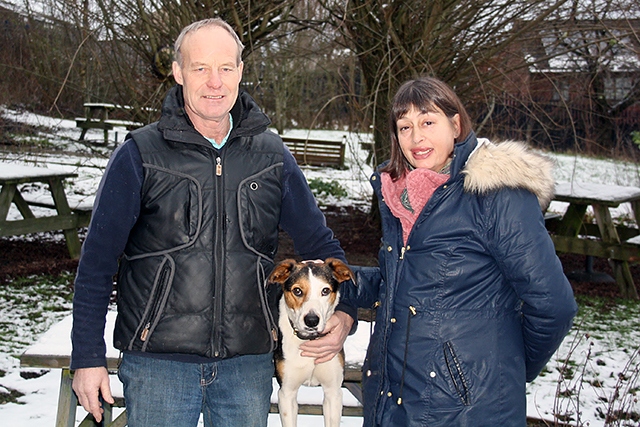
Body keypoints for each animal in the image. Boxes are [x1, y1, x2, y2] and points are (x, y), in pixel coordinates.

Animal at [266, 258, 356, 427]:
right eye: (297, 291)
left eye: (325, 291)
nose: (312, 320)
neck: (309, 339)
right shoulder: (286, 393)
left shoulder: (333, 391)